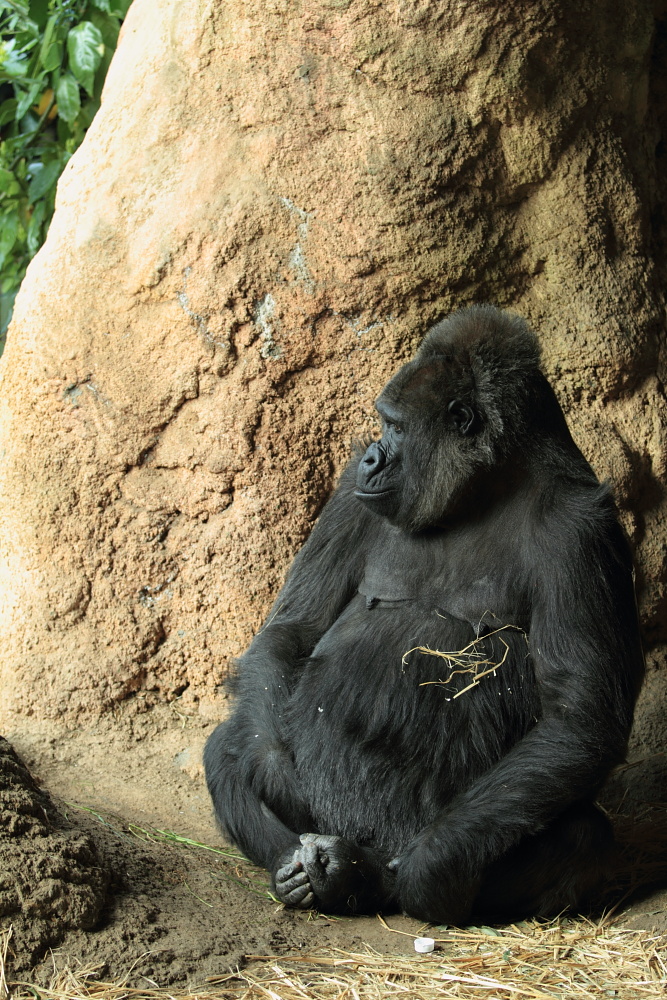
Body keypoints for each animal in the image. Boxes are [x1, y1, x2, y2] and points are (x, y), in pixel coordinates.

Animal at [205, 304, 648, 920]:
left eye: (395, 426)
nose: (370, 455)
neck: (485, 486)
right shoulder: (348, 495)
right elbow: (292, 631)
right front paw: (278, 776)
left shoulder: (581, 530)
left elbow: (580, 715)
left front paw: (430, 869)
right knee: (228, 746)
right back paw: (305, 868)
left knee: (584, 834)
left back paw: (370, 879)